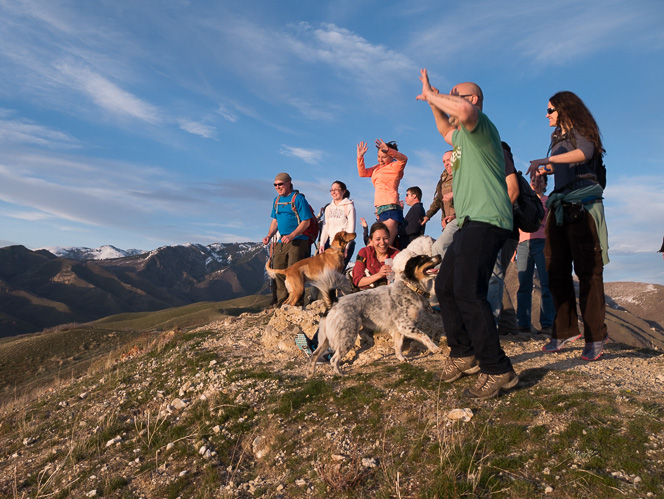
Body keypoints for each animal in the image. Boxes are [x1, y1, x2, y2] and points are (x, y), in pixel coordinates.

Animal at [310, 256, 440, 376]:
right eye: (423, 258)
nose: (439, 255)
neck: (410, 287)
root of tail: (334, 302)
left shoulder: (399, 330)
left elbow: (398, 346)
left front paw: (401, 358)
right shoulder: (405, 326)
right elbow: (424, 336)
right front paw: (435, 348)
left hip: (325, 340)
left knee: (314, 355)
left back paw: (311, 374)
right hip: (347, 337)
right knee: (334, 359)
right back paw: (340, 374)